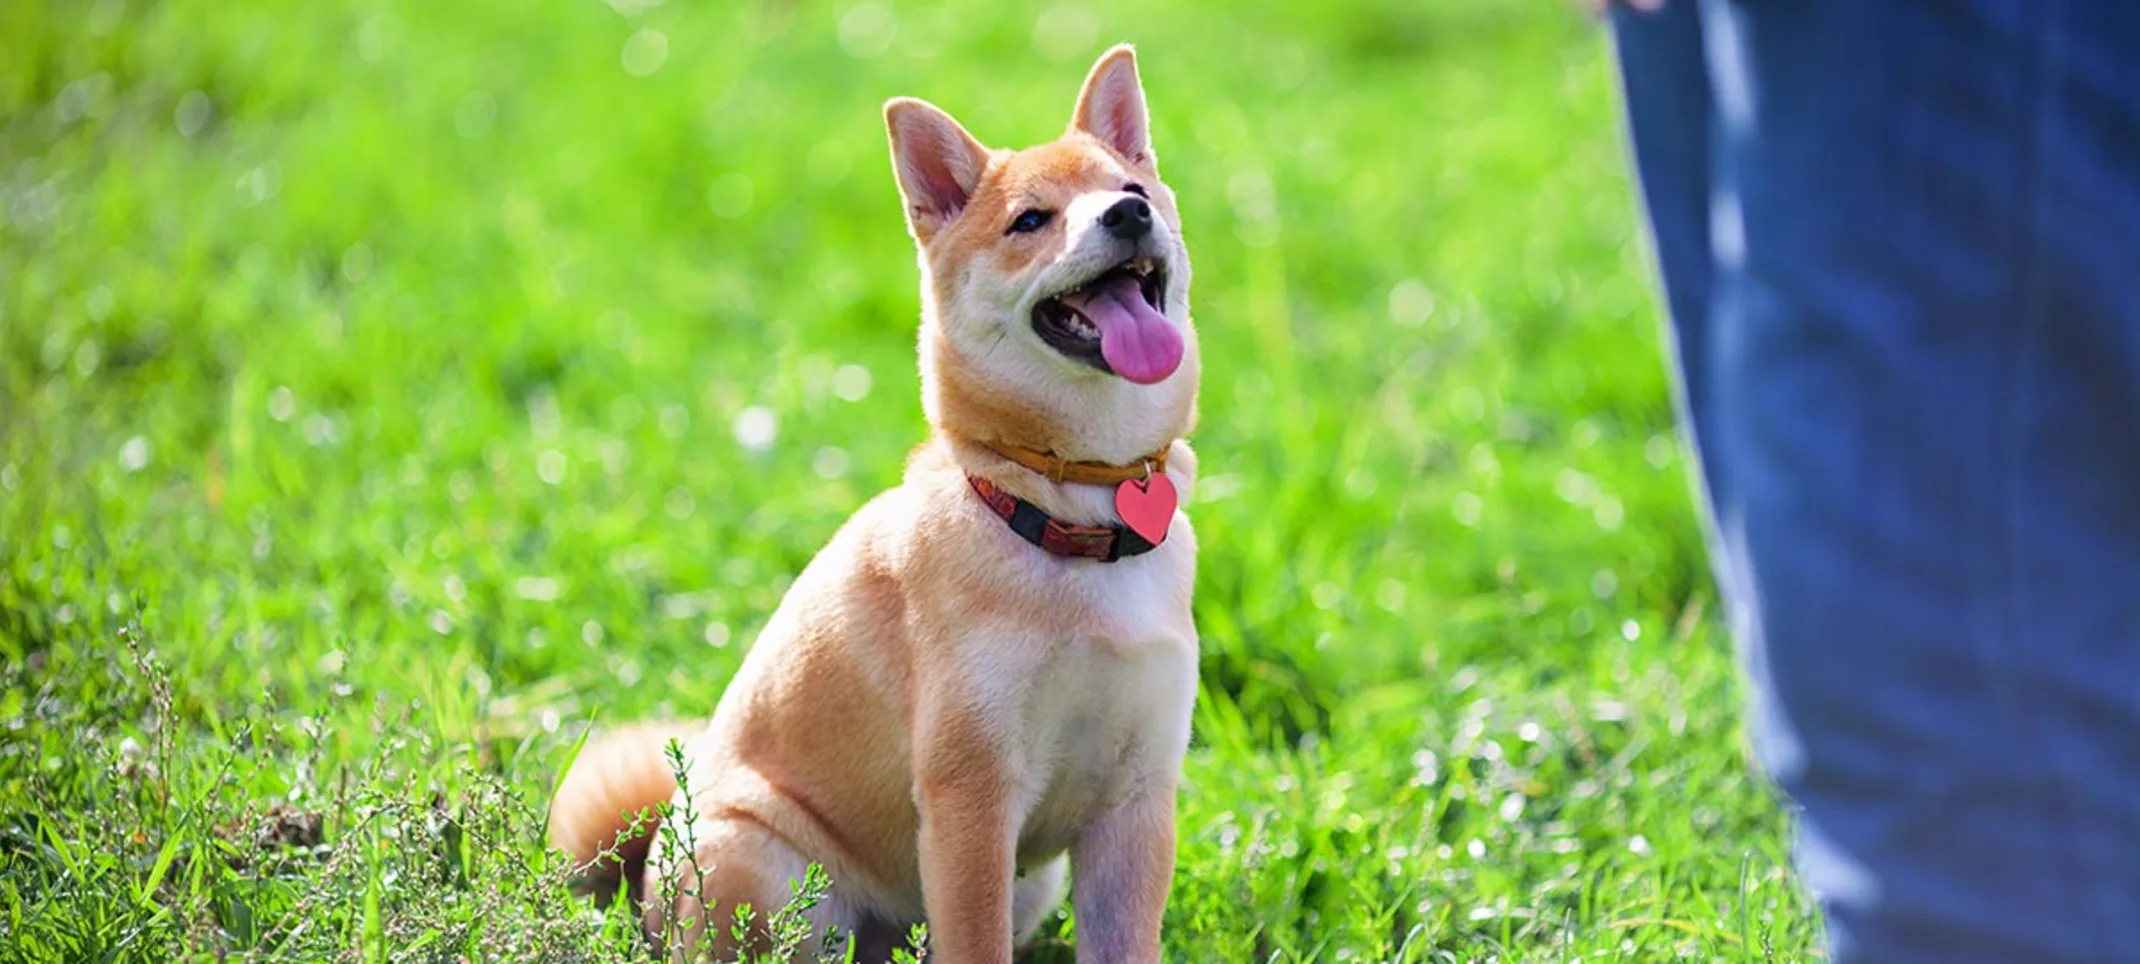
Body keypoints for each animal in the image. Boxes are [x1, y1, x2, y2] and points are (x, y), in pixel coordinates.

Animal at [543, 47, 1198, 964]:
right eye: (1031, 221)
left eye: (1133, 188)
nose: (1129, 215)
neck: (1072, 509)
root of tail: (646, 885)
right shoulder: (970, 796)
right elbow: (974, 942)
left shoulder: (1136, 803)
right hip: (768, 870)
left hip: (1030, 887)